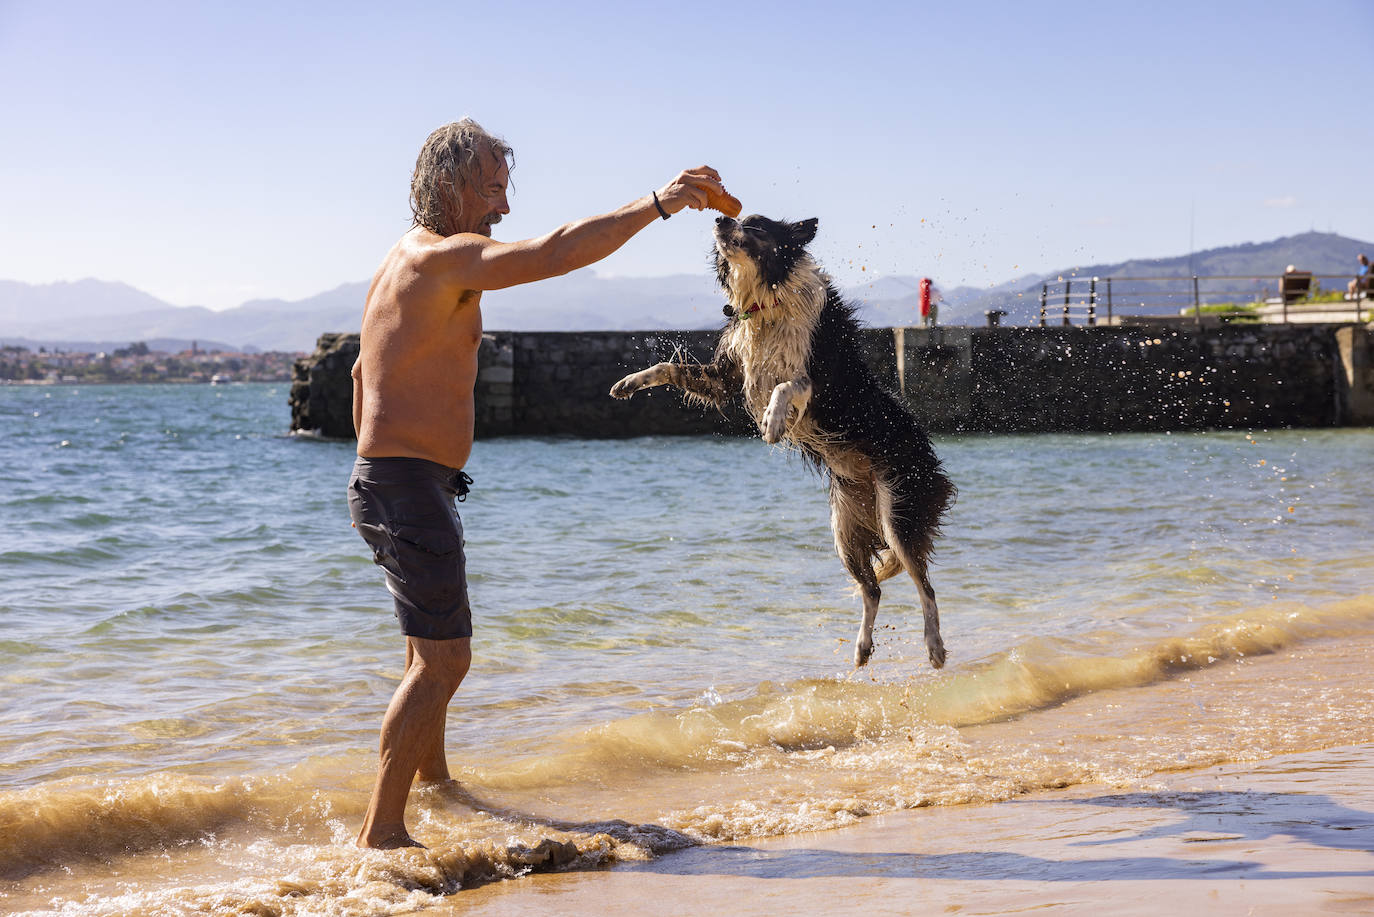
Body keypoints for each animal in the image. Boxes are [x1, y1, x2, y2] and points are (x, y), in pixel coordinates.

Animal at [612, 218, 956, 670]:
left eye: (756, 225)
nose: (720, 219)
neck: (766, 300)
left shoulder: (823, 380)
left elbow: (788, 384)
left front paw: (772, 421)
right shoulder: (725, 376)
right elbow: (667, 366)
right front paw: (630, 382)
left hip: (898, 510)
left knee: (926, 586)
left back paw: (933, 646)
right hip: (845, 530)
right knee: (873, 589)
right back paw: (862, 648)